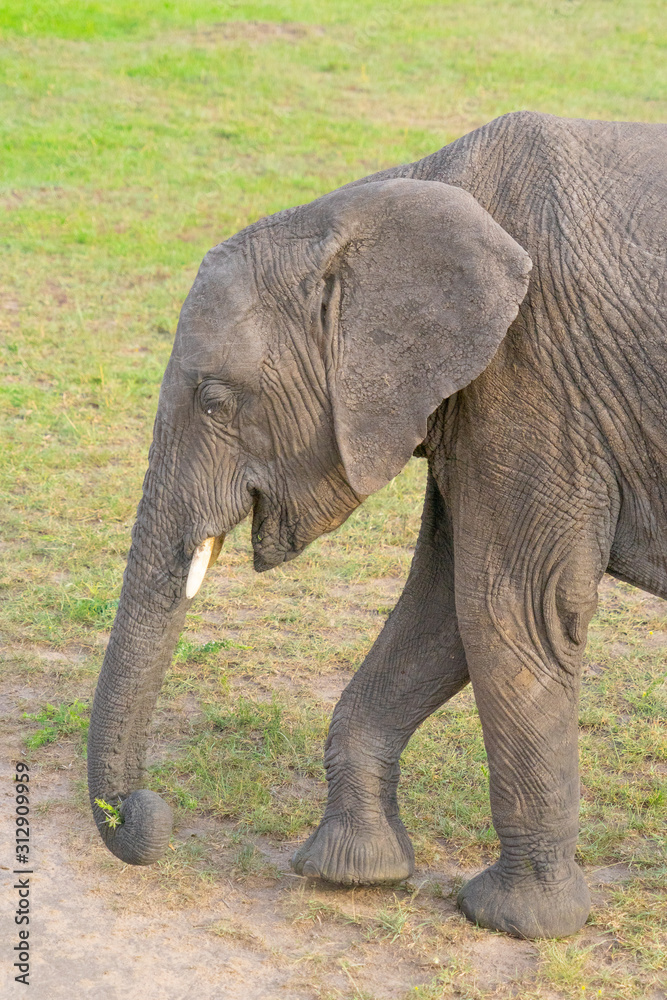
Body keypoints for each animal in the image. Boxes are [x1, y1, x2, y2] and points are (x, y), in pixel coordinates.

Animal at [87, 110, 667, 940]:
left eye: (214, 399)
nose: (145, 811)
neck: (381, 200)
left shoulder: (534, 374)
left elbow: (504, 608)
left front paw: (513, 921)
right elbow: (441, 610)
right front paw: (351, 872)